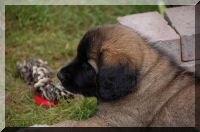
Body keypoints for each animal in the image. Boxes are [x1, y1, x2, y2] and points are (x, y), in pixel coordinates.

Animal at [55, 24, 196, 127]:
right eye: (78, 55)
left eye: (88, 68)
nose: (59, 75)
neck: (142, 80)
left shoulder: (111, 122)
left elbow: (71, 124)